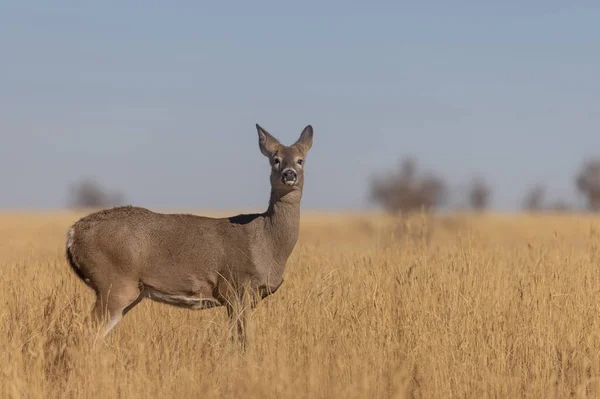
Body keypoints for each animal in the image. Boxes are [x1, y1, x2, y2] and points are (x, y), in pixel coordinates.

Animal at [65, 123, 314, 346]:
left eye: (301, 160)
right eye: (275, 159)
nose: (289, 174)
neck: (267, 242)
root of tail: (73, 233)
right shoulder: (235, 287)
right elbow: (243, 341)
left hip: (130, 291)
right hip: (114, 284)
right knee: (82, 335)